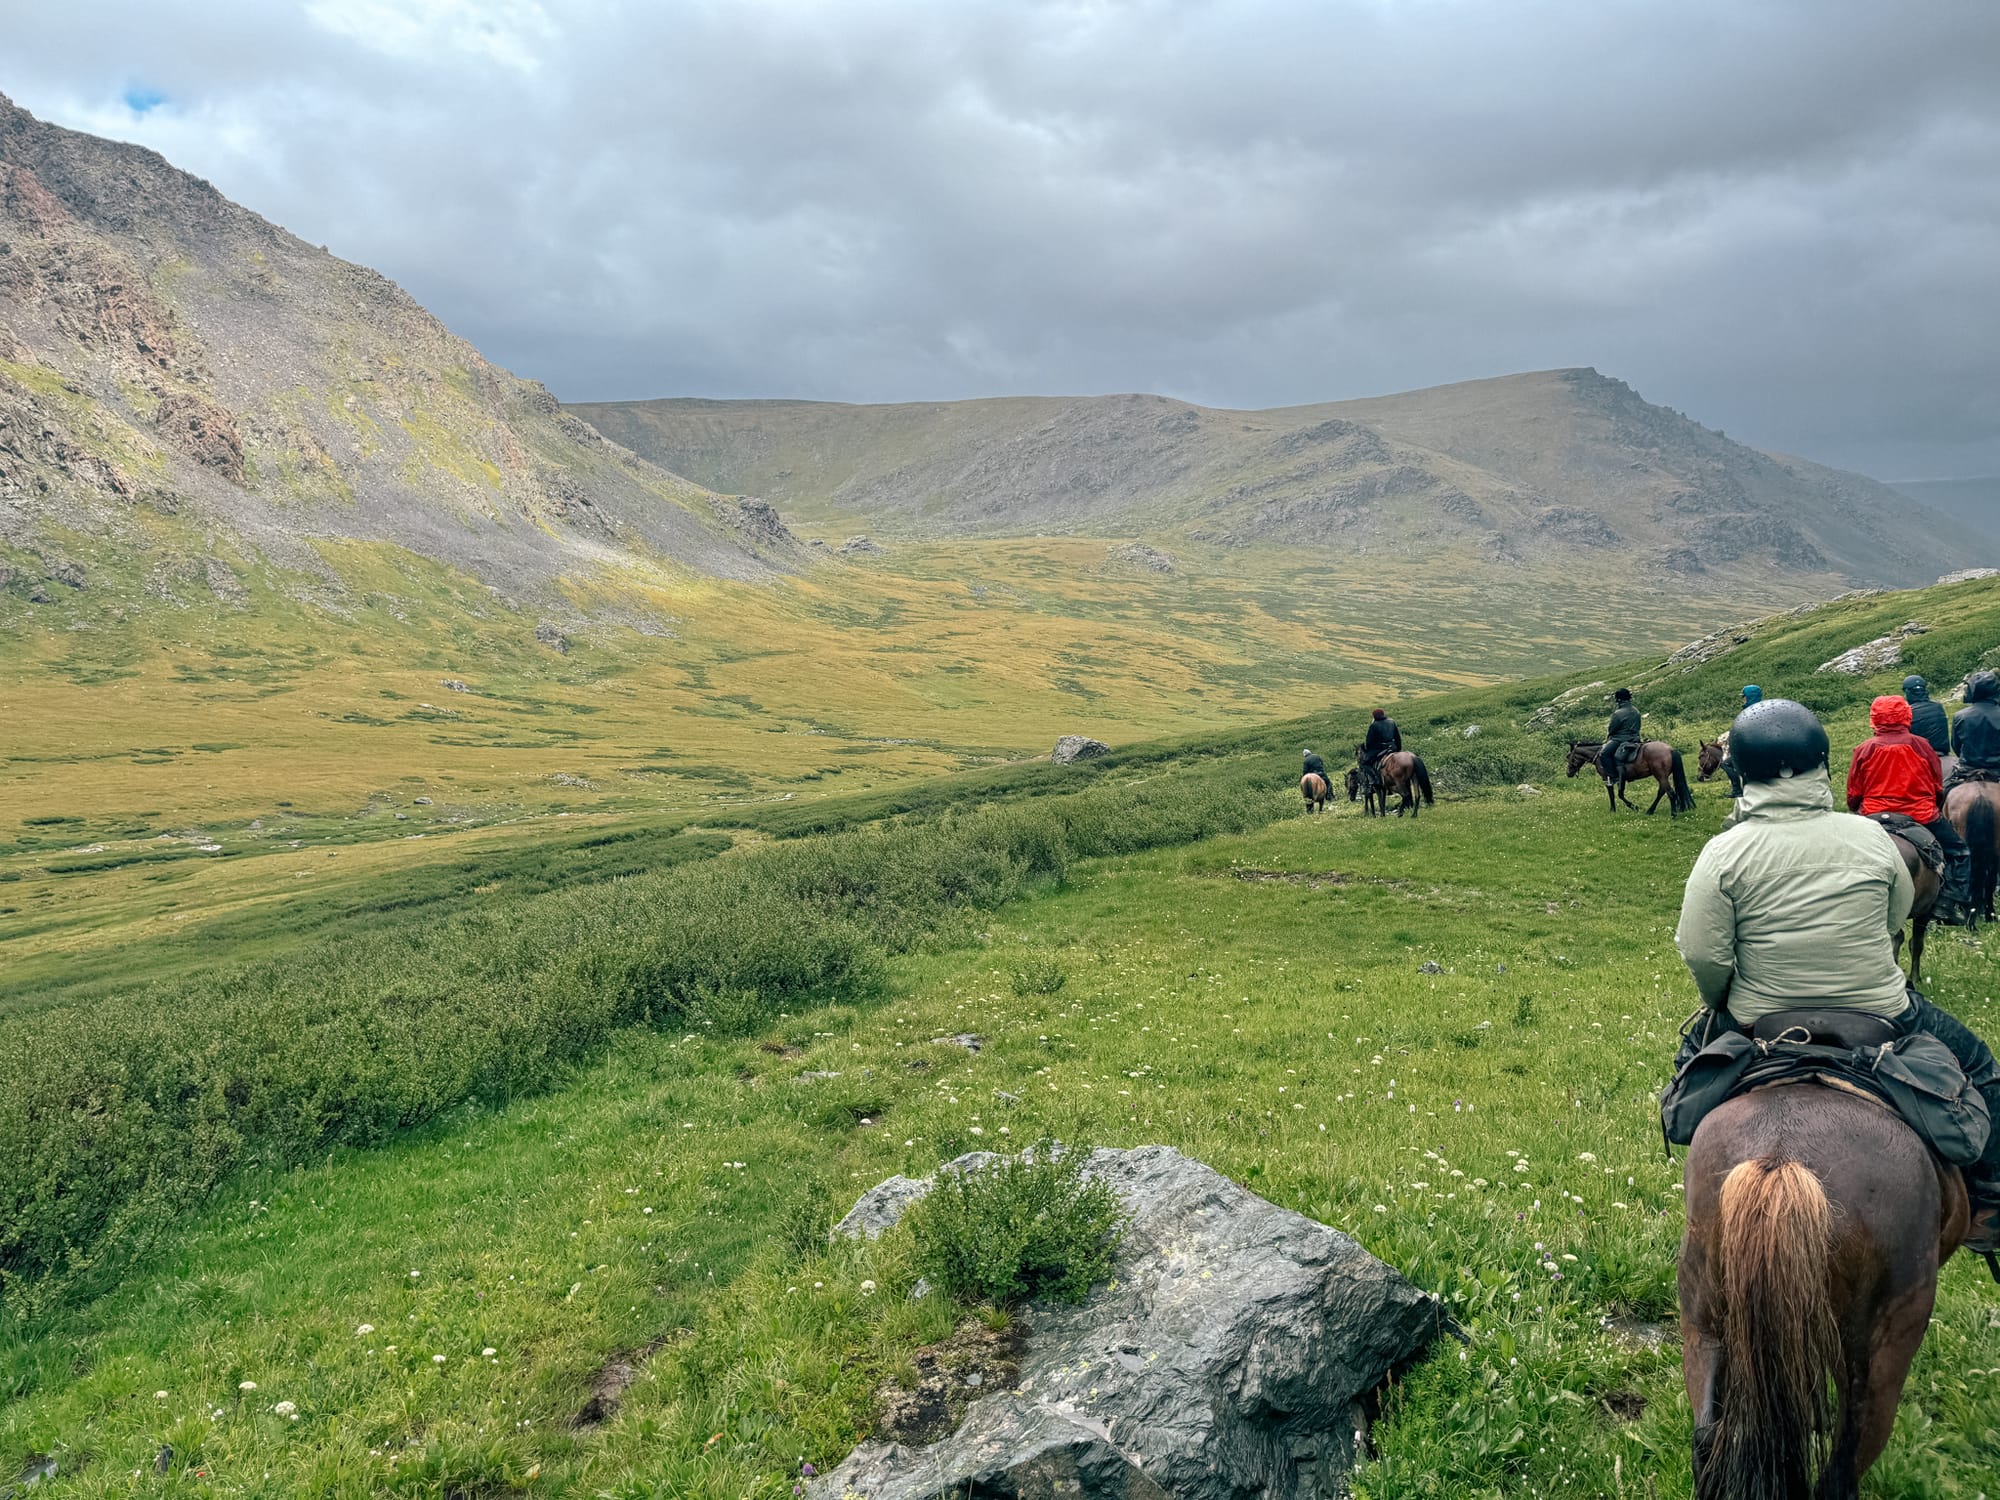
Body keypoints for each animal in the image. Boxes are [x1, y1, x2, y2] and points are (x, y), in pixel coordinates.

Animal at [1568, 744, 1696, 824]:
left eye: (1569, 757)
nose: (1568, 773)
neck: (1598, 755)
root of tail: (1670, 749)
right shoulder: (1619, 779)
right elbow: (1618, 794)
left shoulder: (1607, 778)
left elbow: (1615, 795)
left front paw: (1626, 808)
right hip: (1662, 777)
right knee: (1661, 792)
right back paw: (1650, 811)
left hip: (1661, 776)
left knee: (1670, 793)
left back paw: (1673, 814)